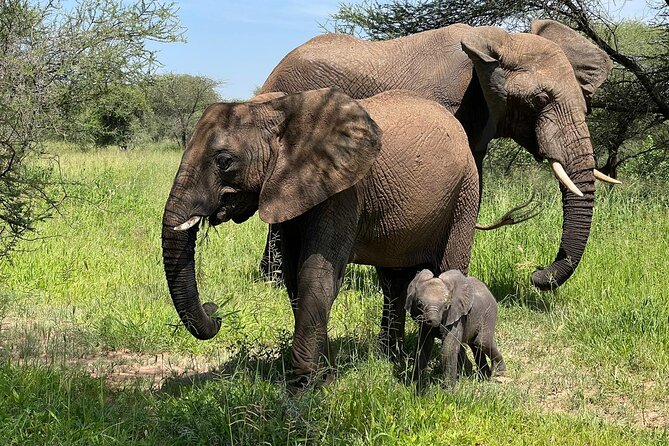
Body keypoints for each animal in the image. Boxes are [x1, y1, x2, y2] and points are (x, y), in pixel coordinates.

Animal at [161, 88, 480, 384]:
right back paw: (391, 357)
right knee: (393, 282)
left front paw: (303, 386)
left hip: (465, 193)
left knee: (448, 268)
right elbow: (293, 277)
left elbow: (315, 274)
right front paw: (324, 376)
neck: (276, 110)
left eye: (224, 161)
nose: (214, 311)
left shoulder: (344, 190)